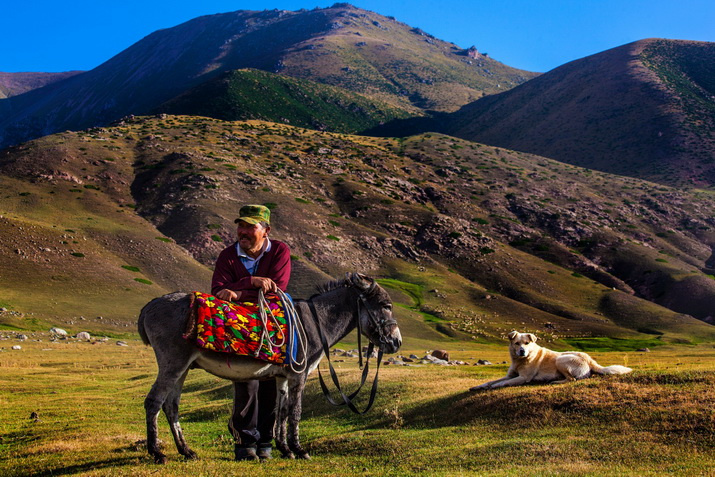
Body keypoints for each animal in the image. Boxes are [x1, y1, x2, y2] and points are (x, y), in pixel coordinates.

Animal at [472, 330, 636, 388]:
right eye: (517, 343)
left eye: (527, 343)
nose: (522, 351)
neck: (520, 361)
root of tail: (589, 359)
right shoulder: (510, 375)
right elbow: (492, 381)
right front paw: (479, 386)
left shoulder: (523, 378)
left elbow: (503, 383)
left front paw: (494, 386)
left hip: (561, 360)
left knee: (572, 379)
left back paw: (555, 381)